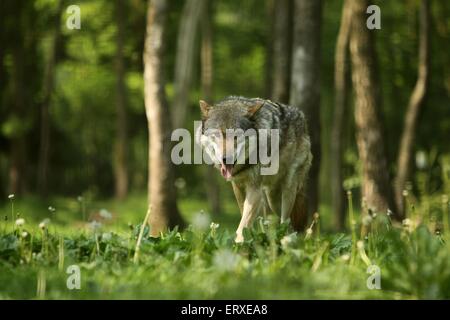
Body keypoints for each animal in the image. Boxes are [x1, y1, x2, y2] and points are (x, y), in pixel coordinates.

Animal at [197, 96, 312, 241]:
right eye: (217, 134)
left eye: (236, 136)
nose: (226, 159)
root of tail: (301, 116)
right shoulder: (238, 187)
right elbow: (244, 217)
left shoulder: (254, 189)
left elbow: (243, 224)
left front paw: (239, 243)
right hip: (272, 198)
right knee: (285, 224)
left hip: (288, 190)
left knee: (286, 221)